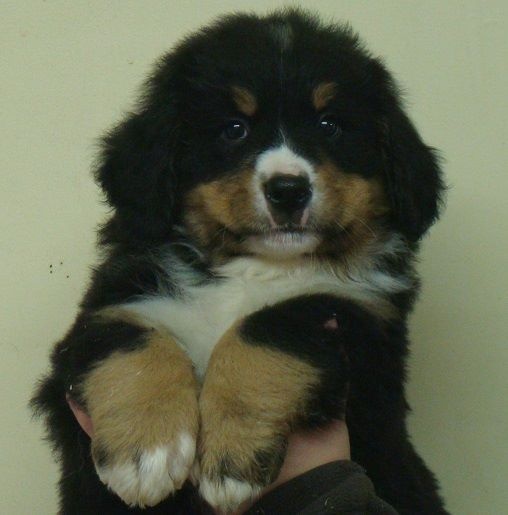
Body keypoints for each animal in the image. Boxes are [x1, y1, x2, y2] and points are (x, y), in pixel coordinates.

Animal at [32, 9, 447, 514]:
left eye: (329, 125)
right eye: (234, 128)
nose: (288, 190)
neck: (249, 267)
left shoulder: (356, 320)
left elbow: (264, 331)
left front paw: (231, 459)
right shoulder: (113, 305)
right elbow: (130, 341)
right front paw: (146, 454)